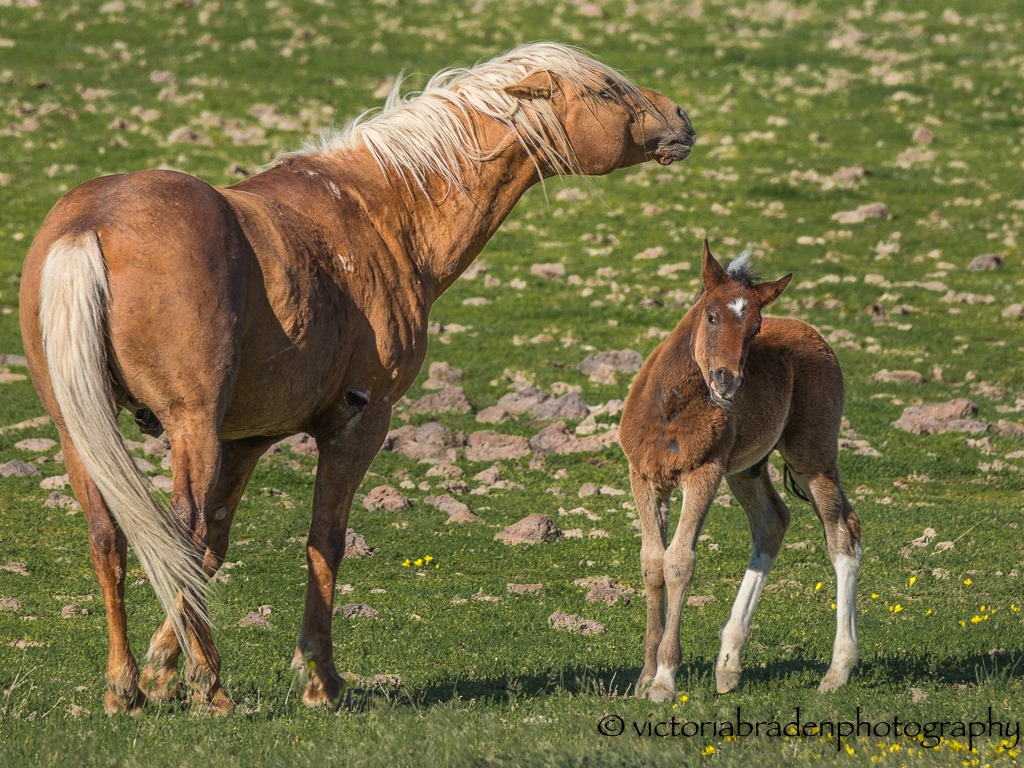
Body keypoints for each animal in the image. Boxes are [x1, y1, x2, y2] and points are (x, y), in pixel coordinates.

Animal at [19, 42, 696, 714]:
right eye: (606, 90)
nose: (681, 118)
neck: (382, 214)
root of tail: (89, 225)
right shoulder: (357, 423)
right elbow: (322, 541)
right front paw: (319, 679)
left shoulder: (246, 441)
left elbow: (214, 546)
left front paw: (164, 669)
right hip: (191, 429)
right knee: (175, 533)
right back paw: (212, 686)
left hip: (81, 434)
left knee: (111, 539)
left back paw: (126, 688)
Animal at [618, 241, 861, 702]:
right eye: (711, 316)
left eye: (755, 328)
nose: (727, 382)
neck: (670, 408)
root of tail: (815, 334)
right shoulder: (643, 477)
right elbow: (651, 562)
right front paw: (643, 675)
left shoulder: (703, 472)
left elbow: (679, 562)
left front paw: (664, 678)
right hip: (746, 469)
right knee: (772, 523)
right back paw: (728, 664)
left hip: (811, 455)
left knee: (843, 532)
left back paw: (838, 669)